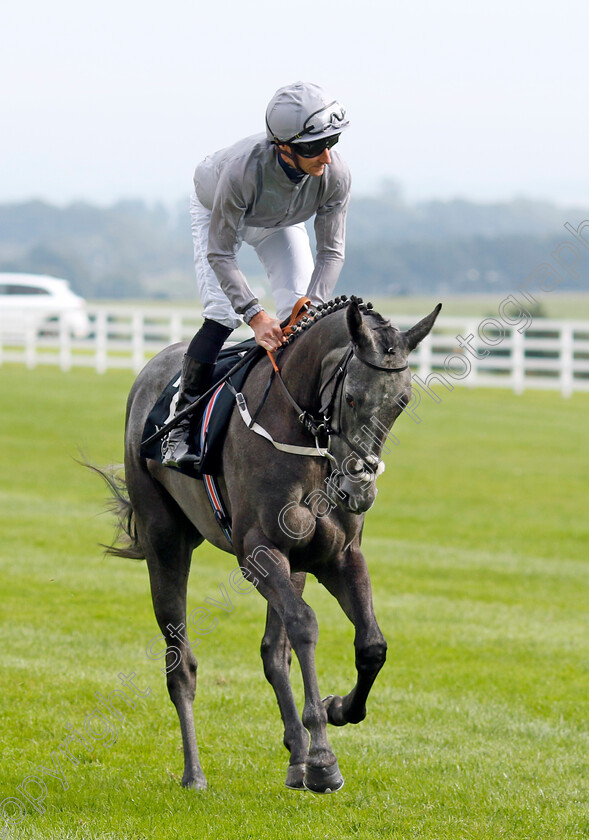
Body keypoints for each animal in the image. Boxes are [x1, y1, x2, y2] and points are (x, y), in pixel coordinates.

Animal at [101, 296, 438, 796]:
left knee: (273, 652)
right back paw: (195, 772)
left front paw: (337, 711)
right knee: (181, 663)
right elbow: (305, 625)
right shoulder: (258, 553)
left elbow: (371, 645)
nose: (359, 490)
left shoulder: (337, 557)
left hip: (291, 564)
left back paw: (296, 755)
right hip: (166, 543)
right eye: (352, 397)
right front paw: (323, 758)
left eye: (402, 402)